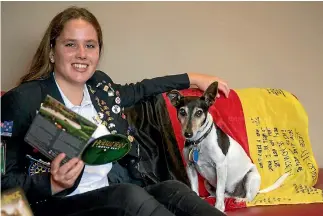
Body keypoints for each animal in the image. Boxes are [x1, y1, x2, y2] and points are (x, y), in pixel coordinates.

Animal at [167, 82, 288, 212]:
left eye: (199, 113)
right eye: (182, 112)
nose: (188, 134)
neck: (199, 141)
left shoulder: (220, 166)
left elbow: (219, 190)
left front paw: (219, 207)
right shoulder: (190, 167)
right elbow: (195, 189)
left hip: (250, 176)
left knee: (249, 197)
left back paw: (240, 200)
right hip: (206, 182)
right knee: (222, 194)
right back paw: (213, 197)